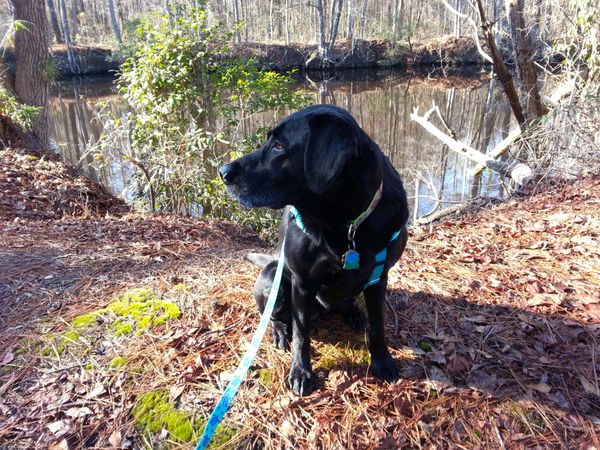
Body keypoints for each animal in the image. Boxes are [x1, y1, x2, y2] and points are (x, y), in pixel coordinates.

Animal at [218, 103, 410, 396]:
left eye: (279, 146)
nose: (222, 171)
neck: (343, 224)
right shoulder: (302, 282)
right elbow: (302, 333)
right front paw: (301, 372)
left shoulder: (379, 278)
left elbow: (378, 325)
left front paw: (382, 362)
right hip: (273, 279)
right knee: (274, 315)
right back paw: (279, 332)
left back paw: (353, 313)